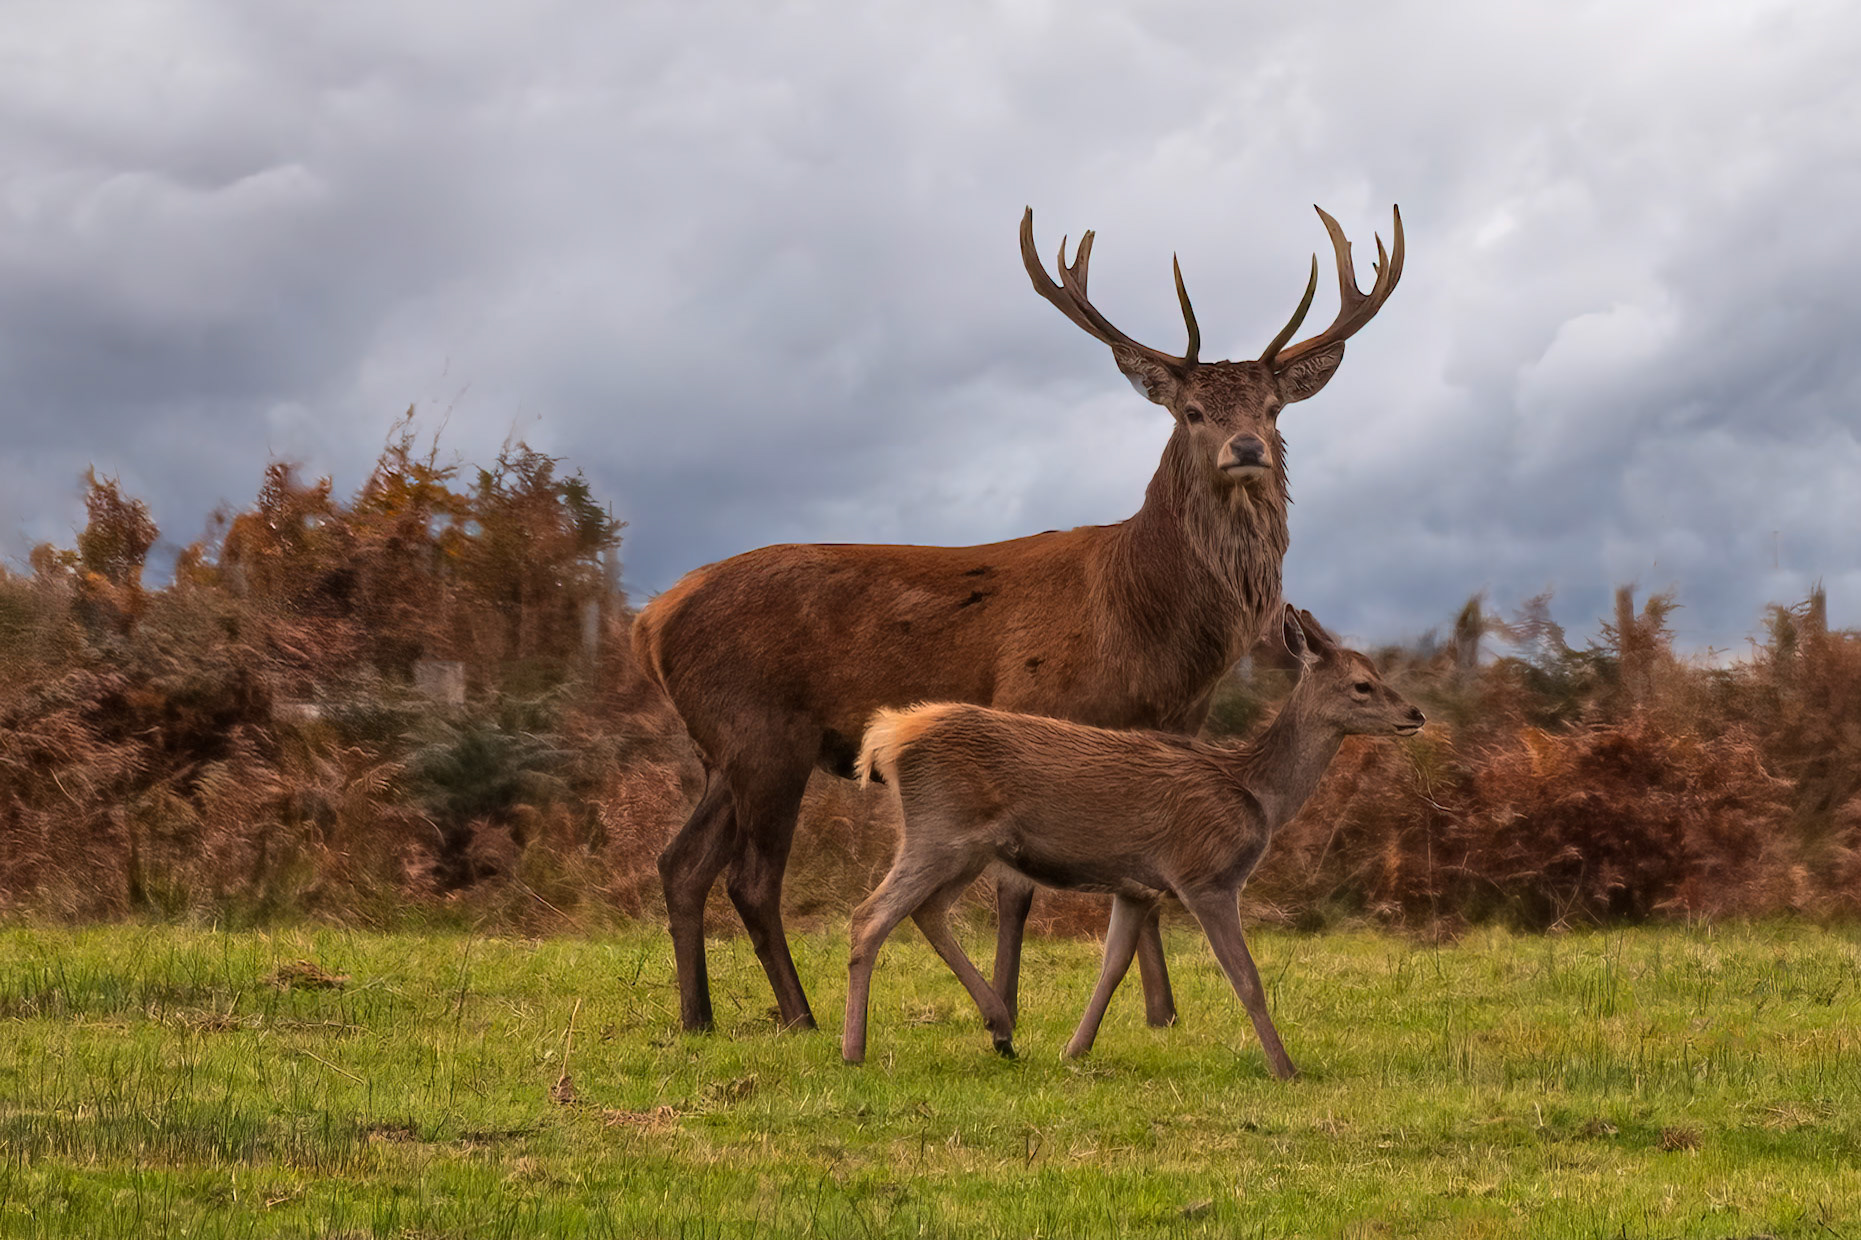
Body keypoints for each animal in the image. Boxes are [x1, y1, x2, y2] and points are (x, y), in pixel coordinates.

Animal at [633, 204, 1404, 1035]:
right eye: (1192, 411)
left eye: (1271, 407)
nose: (1247, 447)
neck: (1148, 631)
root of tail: (652, 619)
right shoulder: (1037, 704)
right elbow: (1017, 889)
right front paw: (1005, 1007)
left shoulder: (1172, 731)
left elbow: (1139, 873)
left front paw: (1159, 1012)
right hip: (762, 732)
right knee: (749, 878)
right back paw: (800, 1017)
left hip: (721, 747)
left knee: (680, 863)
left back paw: (698, 1016)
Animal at [843, 605, 1425, 1078]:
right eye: (1362, 685)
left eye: (1377, 675)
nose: (1415, 714)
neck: (1257, 791)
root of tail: (887, 738)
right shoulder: (1205, 874)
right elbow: (1246, 977)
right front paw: (1286, 1068)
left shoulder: (1137, 886)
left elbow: (1113, 966)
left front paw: (1074, 1050)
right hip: (941, 830)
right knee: (870, 915)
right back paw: (855, 1050)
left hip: (966, 846)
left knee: (926, 911)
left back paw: (1001, 1028)